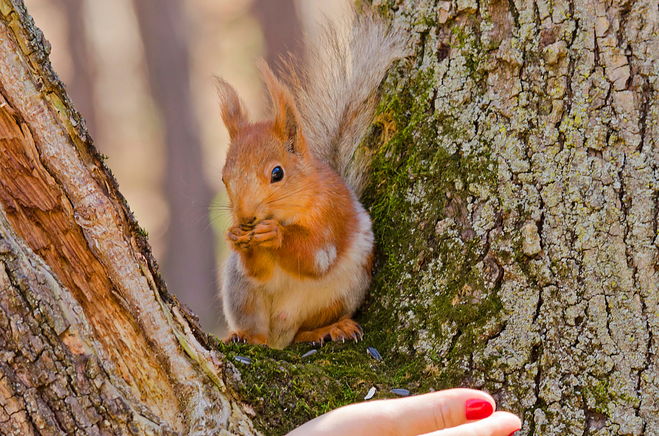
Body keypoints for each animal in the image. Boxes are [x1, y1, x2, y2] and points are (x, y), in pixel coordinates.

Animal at [217, 11, 404, 350]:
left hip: (341, 294)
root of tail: (279, 335)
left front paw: (275, 235)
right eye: (224, 178)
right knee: (258, 329)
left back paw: (329, 329)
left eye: (277, 173)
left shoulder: (331, 214)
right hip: (242, 292)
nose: (246, 218)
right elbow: (260, 271)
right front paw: (236, 236)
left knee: (302, 333)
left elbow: (314, 257)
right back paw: (245, 336)